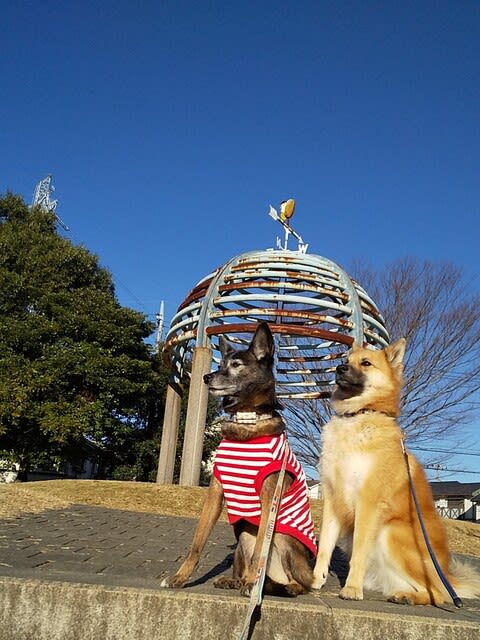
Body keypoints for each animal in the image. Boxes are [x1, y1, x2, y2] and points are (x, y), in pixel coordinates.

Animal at [312, 340, 480, 604]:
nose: (339, 368)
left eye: (366, 363)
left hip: (391, 532)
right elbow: (325, 547)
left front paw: (352, 588)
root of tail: (448, 577)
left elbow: (359, 551)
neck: (358, 416)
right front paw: (314, 579)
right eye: (346, 360)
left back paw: (409, 597)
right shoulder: (332, 498)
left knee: (438, 593)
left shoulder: (368, 502)